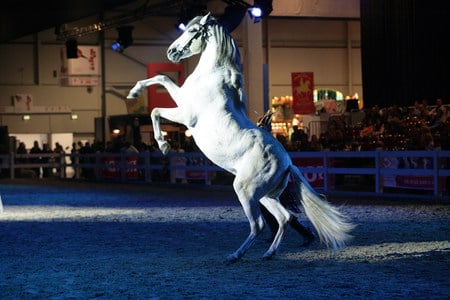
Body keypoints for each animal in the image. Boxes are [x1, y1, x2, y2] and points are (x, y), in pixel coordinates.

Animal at [127, 12, 356, 262]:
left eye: (192, 30)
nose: (171, 52)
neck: (213, 76)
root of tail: (287, 163)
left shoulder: (186, 114)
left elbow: (156, 107)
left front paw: (164, 145)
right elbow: (161, 78)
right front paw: (134, 92)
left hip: (245, 190)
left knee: (259, 225)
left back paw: (235, 255)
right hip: (265, 196)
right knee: (284, 218)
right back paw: (268, 253)